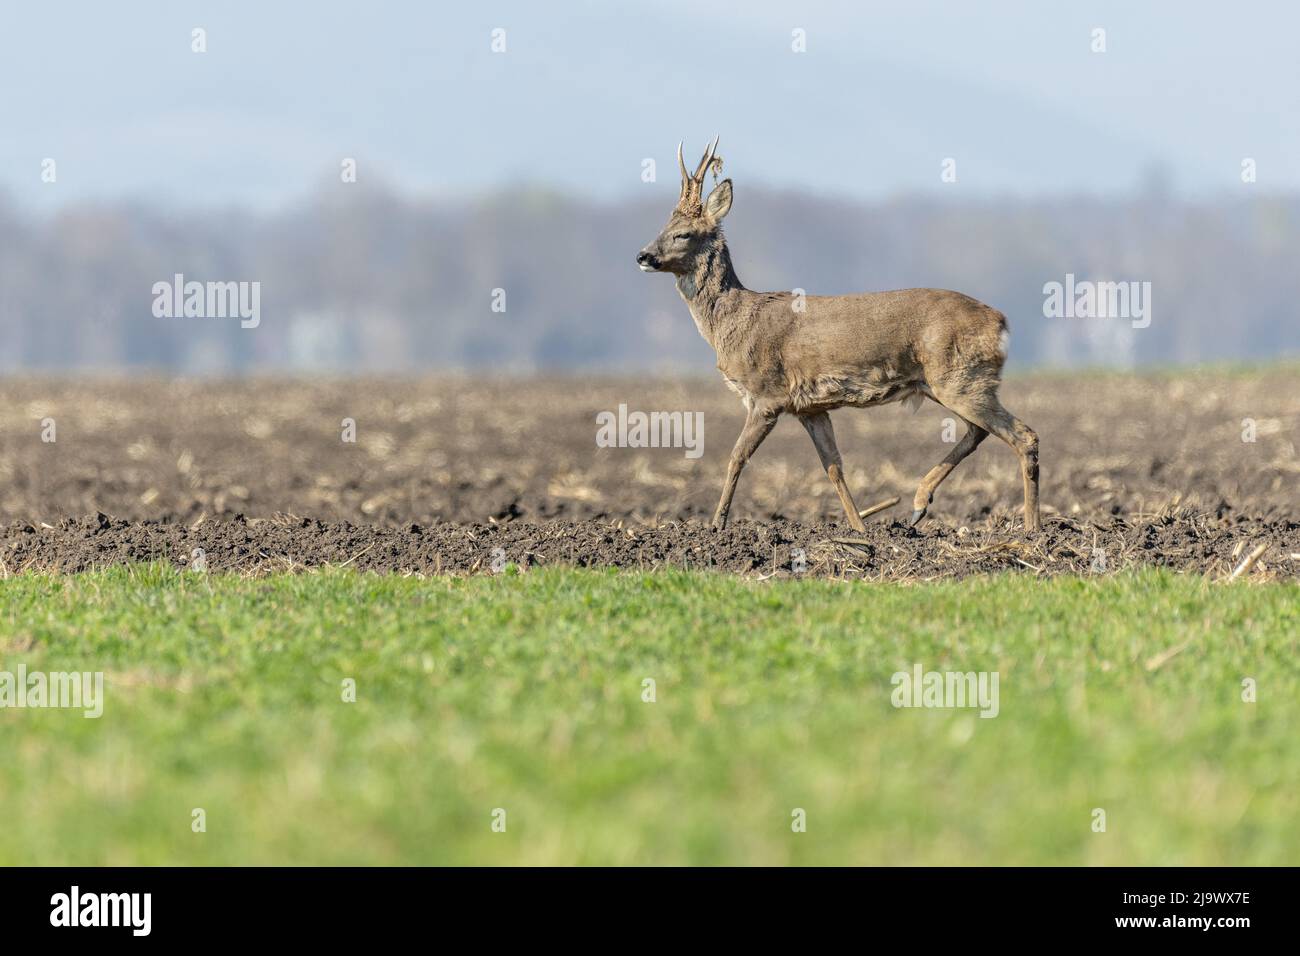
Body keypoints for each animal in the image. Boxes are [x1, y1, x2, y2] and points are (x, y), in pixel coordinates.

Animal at [636, 138, 1040, 534]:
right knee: (979, 432)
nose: (642, 255)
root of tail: (1002, 321)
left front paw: (716, 524)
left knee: (1024, 435)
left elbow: (737, 456)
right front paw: (859, 528)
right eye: (662, 226)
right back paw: (918, 505)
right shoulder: (810, 407)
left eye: (683, 233)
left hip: (960, 377)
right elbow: (833, 466)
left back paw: (1032, 528)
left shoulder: (767, 394)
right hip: (950, 382)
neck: (733, 323)